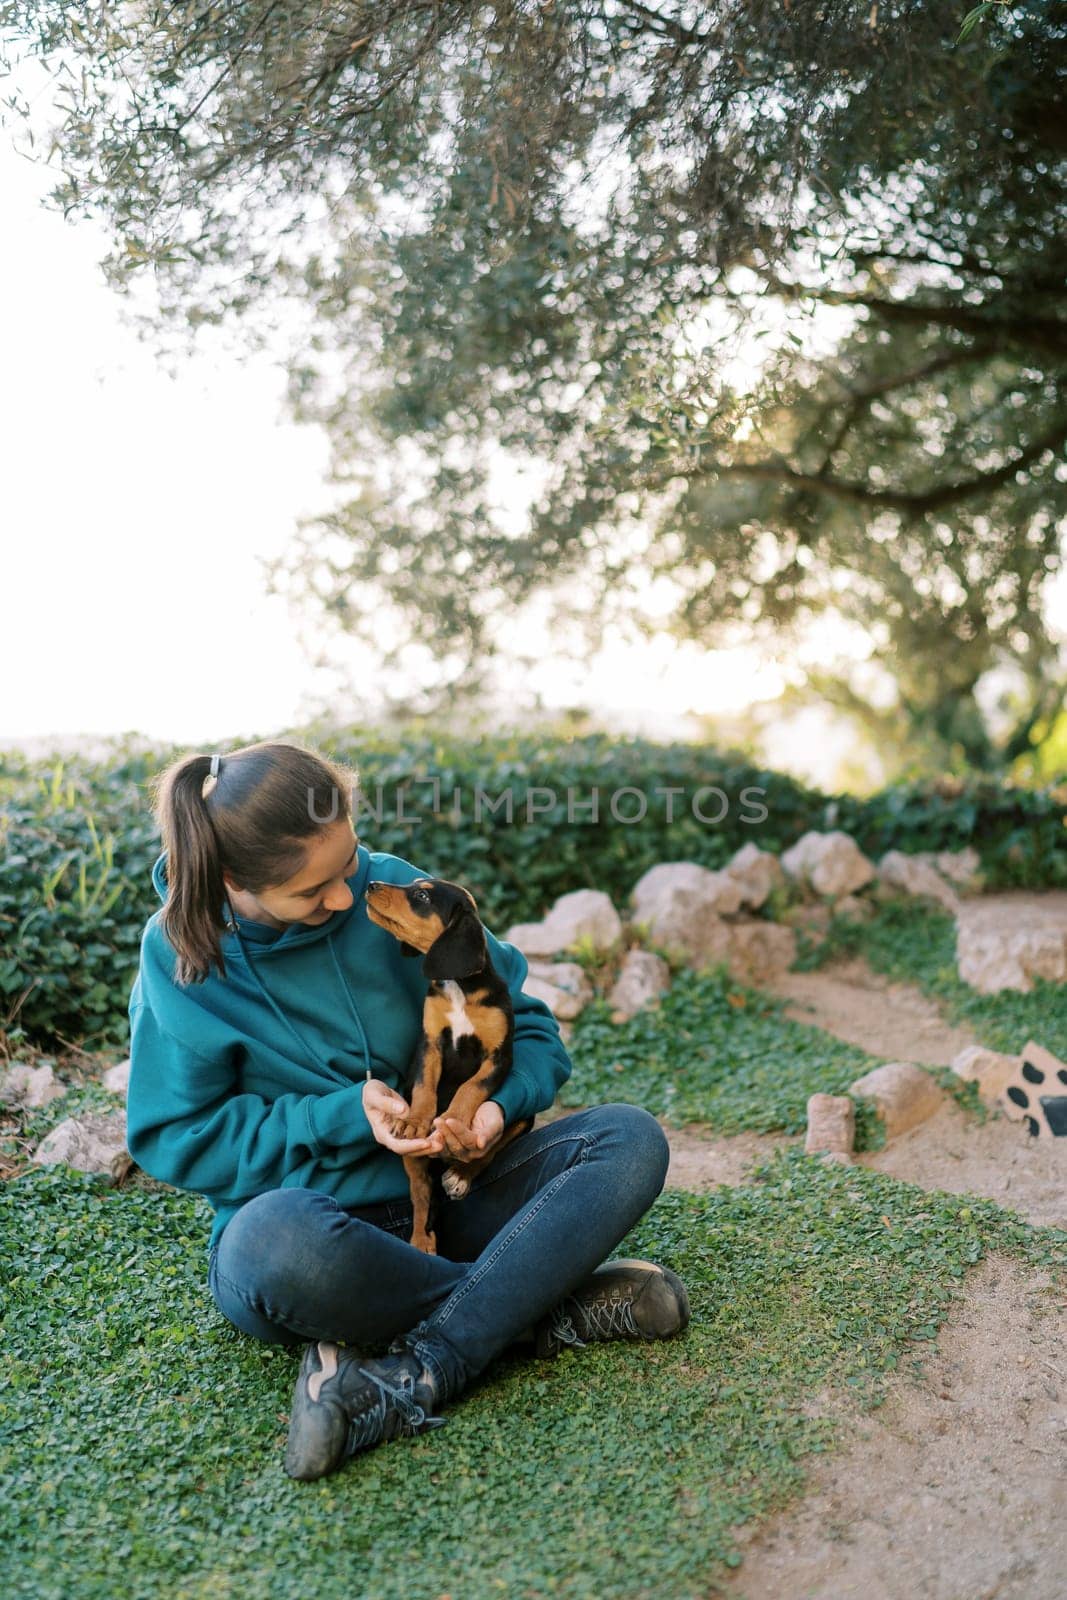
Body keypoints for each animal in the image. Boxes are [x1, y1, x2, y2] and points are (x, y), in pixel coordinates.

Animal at [367, 883, 534, 1254]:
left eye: (423, 896)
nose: (370, 886)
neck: (458, 987)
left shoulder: (499, 1057)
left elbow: (470, 1088)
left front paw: (454, 1120)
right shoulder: (429, 1044)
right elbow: (424, 1087)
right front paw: (416, 1121)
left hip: (523, 1119)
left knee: (488, 1152)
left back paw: (459, 1175)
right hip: (413, 1159)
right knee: (420, 1194)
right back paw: (420, 1239)